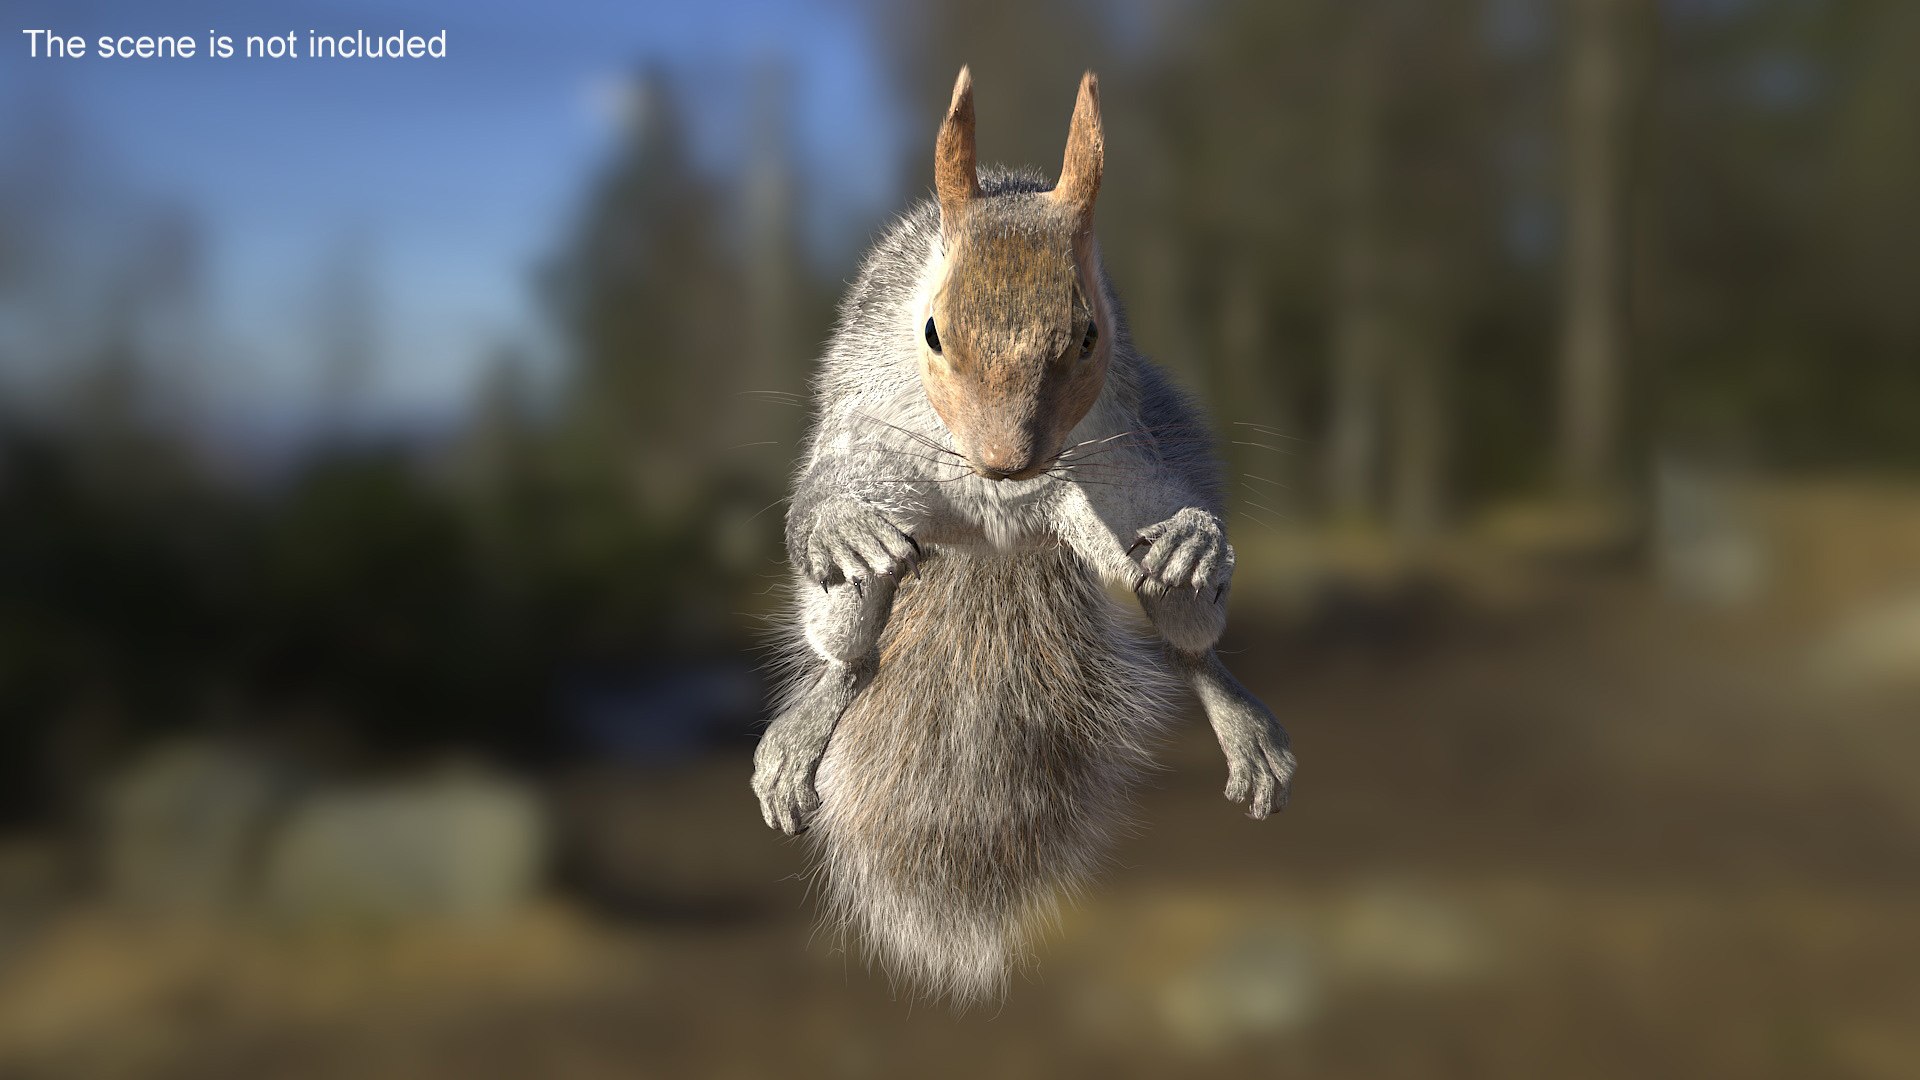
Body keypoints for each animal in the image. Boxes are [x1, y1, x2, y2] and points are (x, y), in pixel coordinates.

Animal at [753, 67, 1295, 1006]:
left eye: (1088, 335)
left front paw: (1196, 536)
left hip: (1110, 509)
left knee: (1186, 637)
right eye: (932, 331)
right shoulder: (868, 419)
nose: (1006, 463)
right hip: (890, 544)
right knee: (853, 650)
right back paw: (803, 731)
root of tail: (997, 545)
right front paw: (837, 523)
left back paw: (1234, 709)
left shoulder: (1124, 452)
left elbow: (1174, 510)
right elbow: (824, 489)